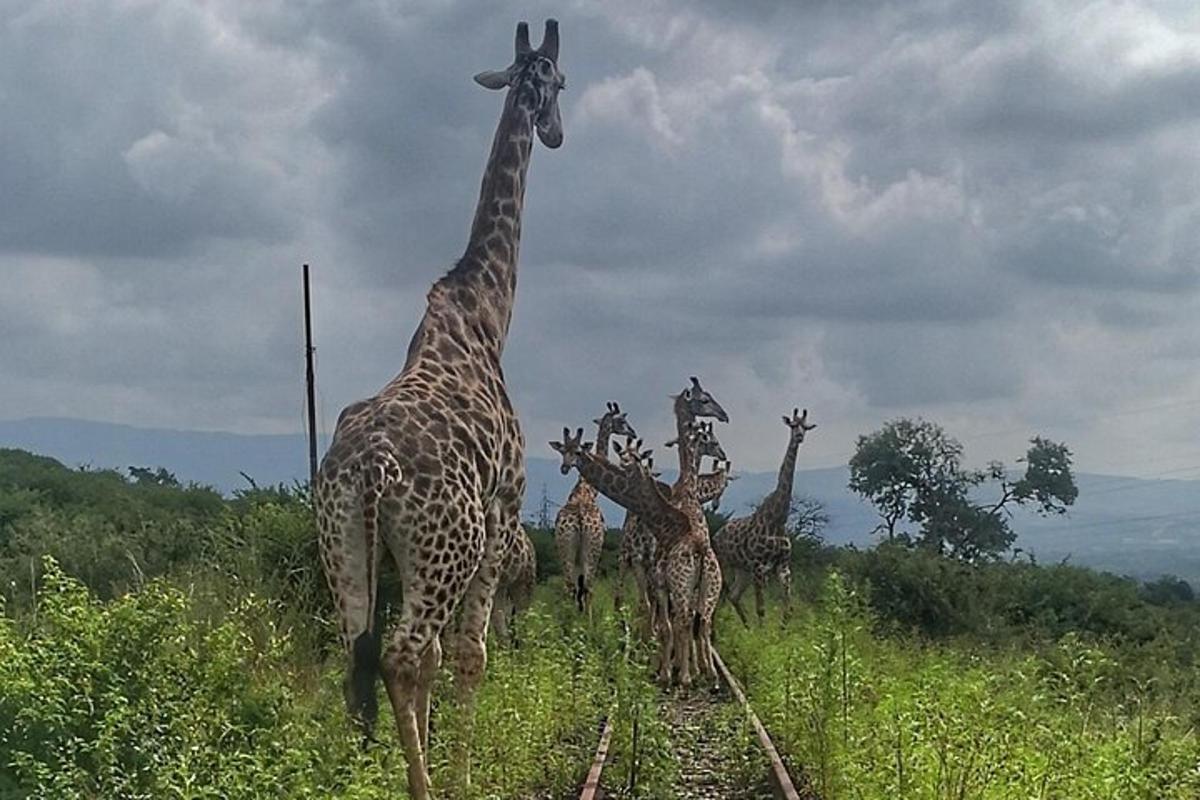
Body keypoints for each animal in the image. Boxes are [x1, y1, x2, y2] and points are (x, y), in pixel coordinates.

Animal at [314, 20, 566, 800]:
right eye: (560, 81)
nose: (556, 133)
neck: (486, 313)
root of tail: (369, 472)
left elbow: (436, 661)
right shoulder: (503, 517)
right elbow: (470, 655)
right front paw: (461, 774)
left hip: (344, 545)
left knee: (358, 652)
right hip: (445, 548)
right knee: (401, 653)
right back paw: (424, 787)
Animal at [554, 402, 638, 618]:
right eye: (622, 421)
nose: (633, 433)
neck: (586, 490)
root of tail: (580, 519)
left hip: (565, 549)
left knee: (570, 588)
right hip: (592, 550)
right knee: (588, 589)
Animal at [710, 407, 816, 623]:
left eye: (806, 427)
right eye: (793, 425)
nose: (799, 437)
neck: (778, 519)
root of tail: (717, 534)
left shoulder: (783, 567)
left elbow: (788, 610)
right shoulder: (759, 567)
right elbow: (761, 609)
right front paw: (763, 631)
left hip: (742, 569)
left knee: (734, 595)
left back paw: (746, 626)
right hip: (724, 563)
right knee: (718, 596)